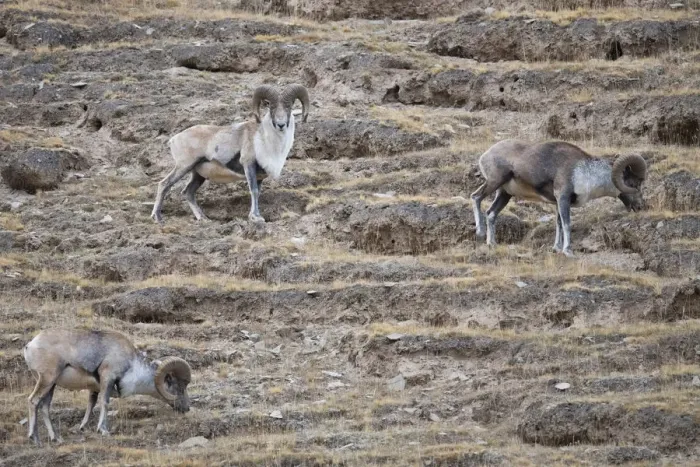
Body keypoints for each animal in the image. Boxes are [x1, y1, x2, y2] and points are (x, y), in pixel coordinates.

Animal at [23, 328, 192, 445]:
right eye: (179, 386)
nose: (186, 408)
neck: (133, 367)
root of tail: (30, 345)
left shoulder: (94, 389)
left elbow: (91, 404)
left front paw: (83, 427)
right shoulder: (108, 378)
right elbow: (104, 402)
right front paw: (103, 430)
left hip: (51, 385)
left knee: (44, 406)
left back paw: (56, 438)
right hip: (47, 380)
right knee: (33, 401)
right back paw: (35, 438)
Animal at [150, 84, 310, 223]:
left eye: (288, 107)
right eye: (272, 107)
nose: (281, 125)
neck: (266, 141)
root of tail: (174, 139)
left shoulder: (259, 176)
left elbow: (258, 193)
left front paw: (257, 216)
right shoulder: (248, 165)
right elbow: (254, 191)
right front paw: (255, 218)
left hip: (198, 175)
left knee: (188, 192)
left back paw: (203, 219)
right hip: (183, 166)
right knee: (164, 184)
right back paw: (157, 218)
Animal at [471, 140, 647, 257]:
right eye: (633, 183)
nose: (640, 207)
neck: (586, 173)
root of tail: (485, 155)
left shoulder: (559, 203)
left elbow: (559, 225)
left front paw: (556, 248)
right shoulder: (563, 198)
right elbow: (567, 224)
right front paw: (567, 251)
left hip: (504, 194)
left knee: (491, 213)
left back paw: (491, 243)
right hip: (494, 182)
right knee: (476, 197)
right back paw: (480, 232)